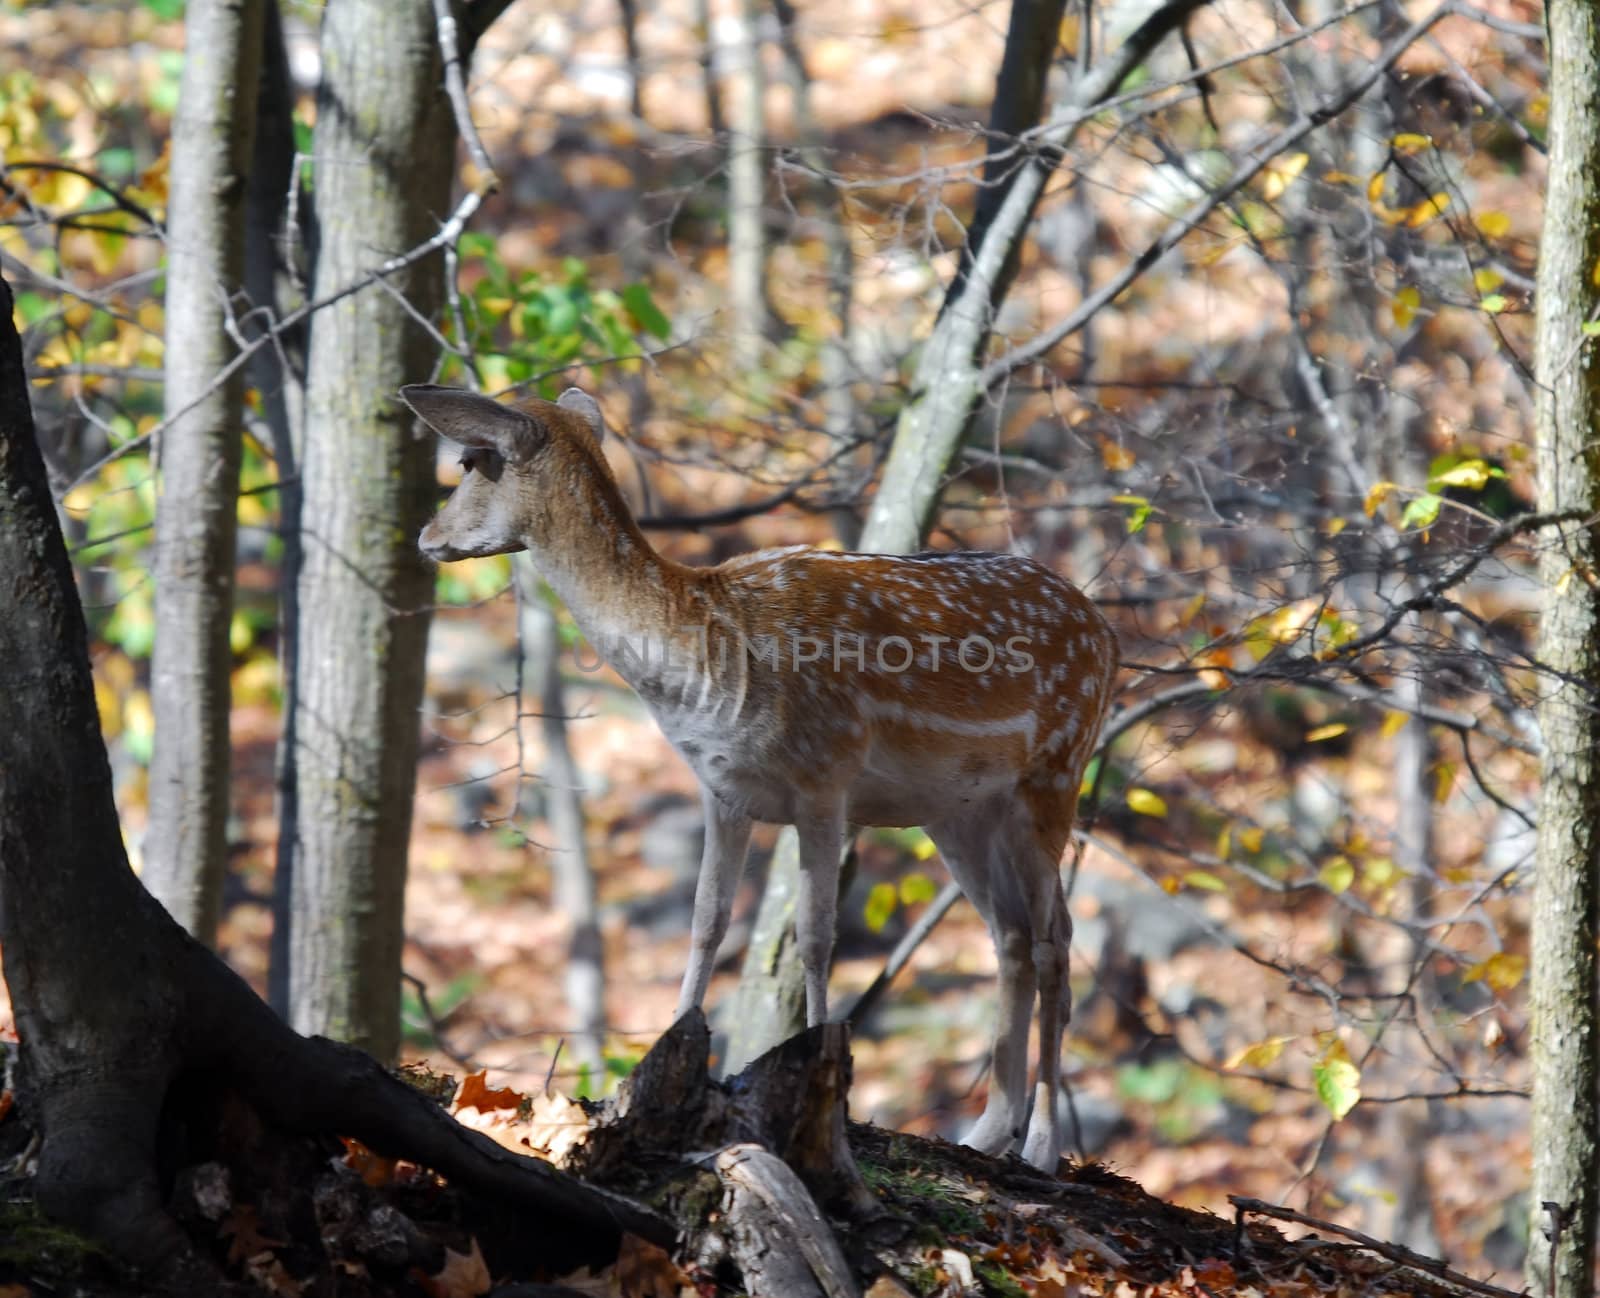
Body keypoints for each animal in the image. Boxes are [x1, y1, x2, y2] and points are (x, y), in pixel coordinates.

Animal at [406, 382, 1120, 1165]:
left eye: (472, 460)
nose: (426, 537)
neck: (702, 663)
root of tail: (1108, 632)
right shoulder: (724, 790)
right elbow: (707, 921)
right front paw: (678, 1052)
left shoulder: (826, 776)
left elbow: (813, 934)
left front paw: (832, 1099)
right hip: (958, 811)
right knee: (1012, 937)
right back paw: (988, 1131)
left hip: (1055, 770)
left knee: (1056, 943)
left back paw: (1042, 1146)